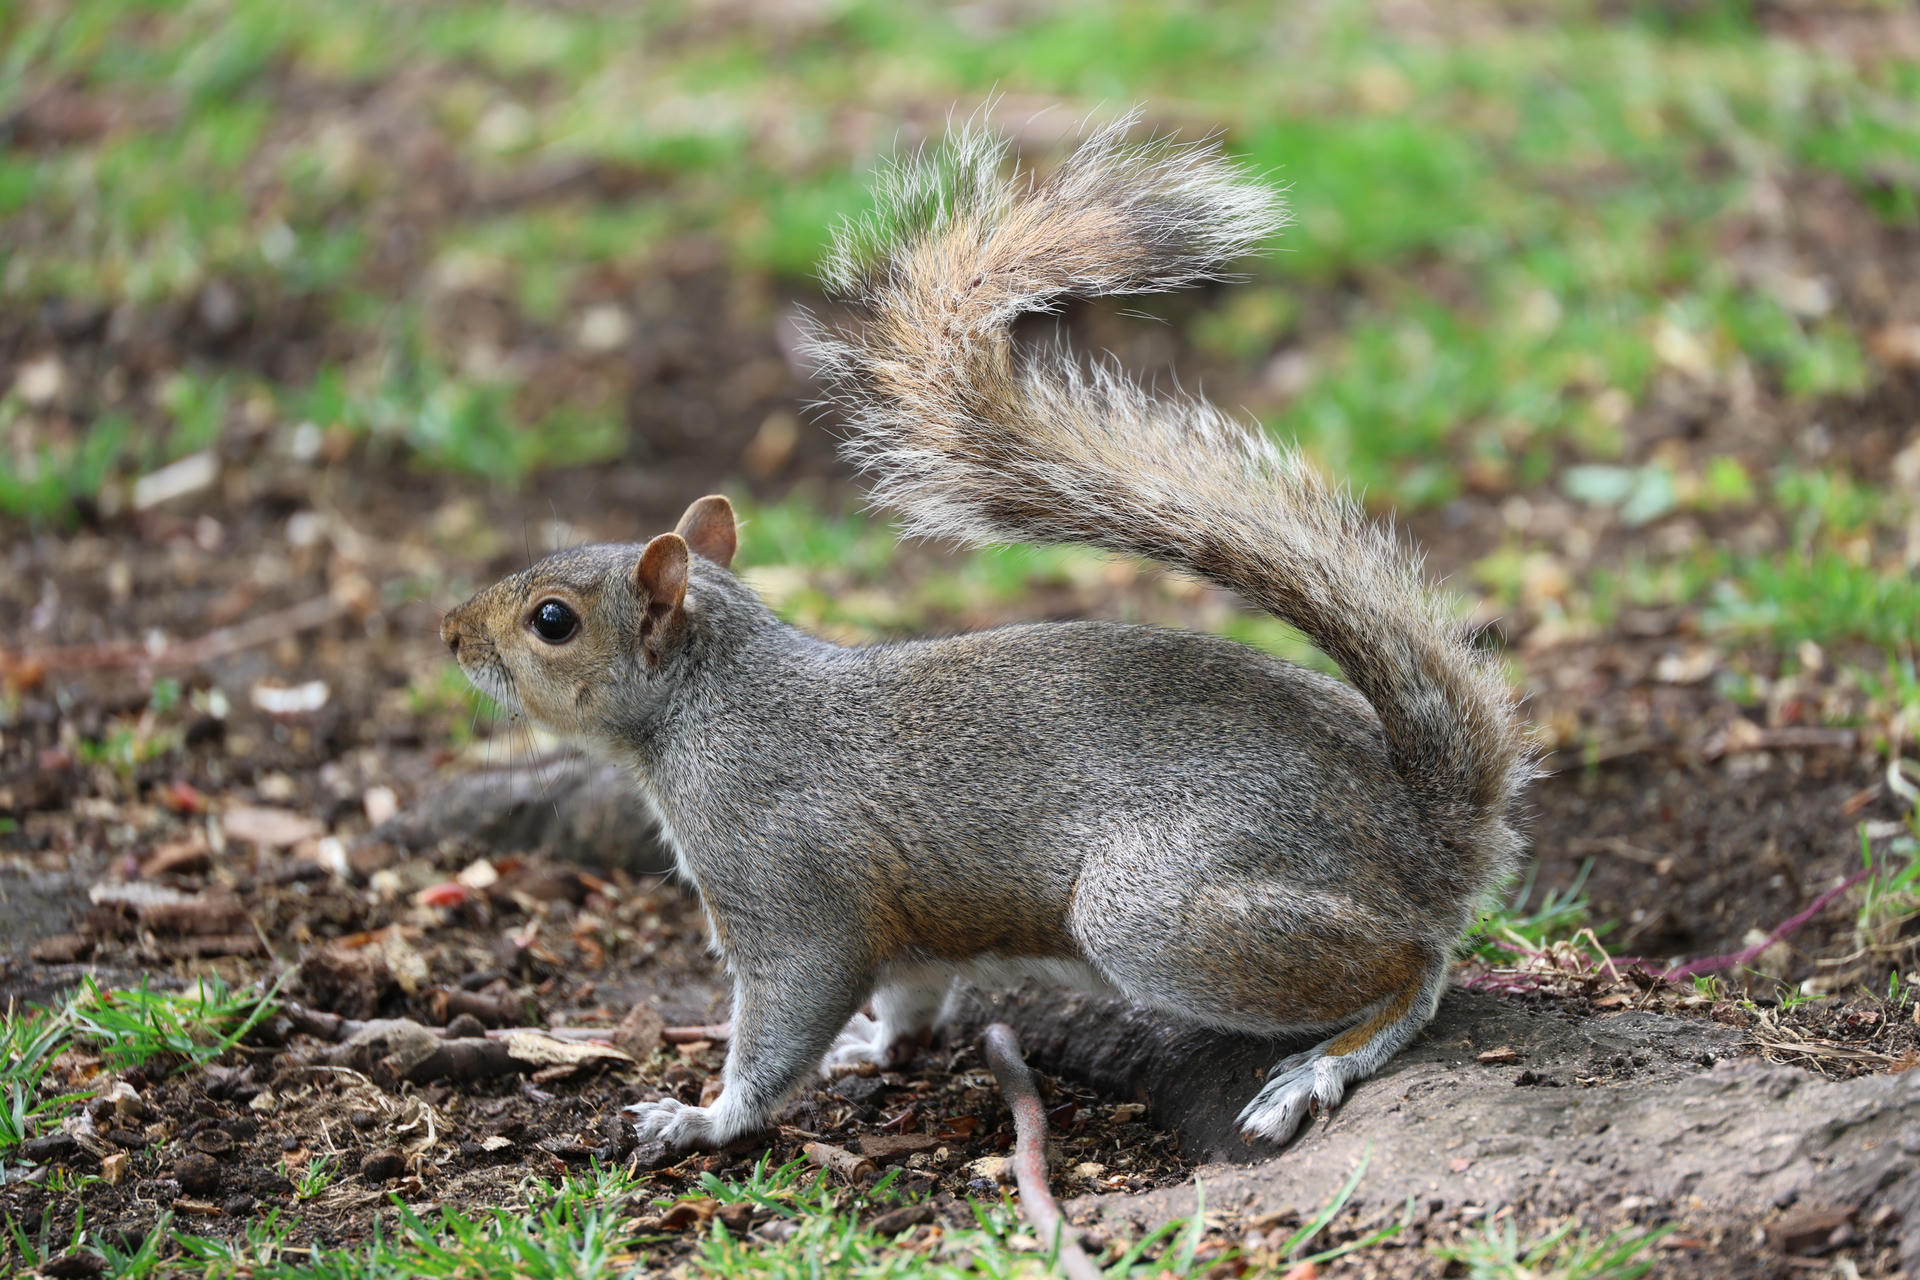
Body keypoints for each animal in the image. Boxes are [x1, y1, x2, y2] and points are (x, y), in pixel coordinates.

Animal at [439, 113, 1534, 1152]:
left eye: (551, 620)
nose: (450, 631)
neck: (710, 699)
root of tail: (1428, 832)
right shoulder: (904, 930)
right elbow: (910, 994)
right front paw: (873, 1047)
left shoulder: (787, 879)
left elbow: (792, 1004)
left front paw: (706, 1117)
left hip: (1153, 909)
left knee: (1417, 965)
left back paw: (1323, 1063)